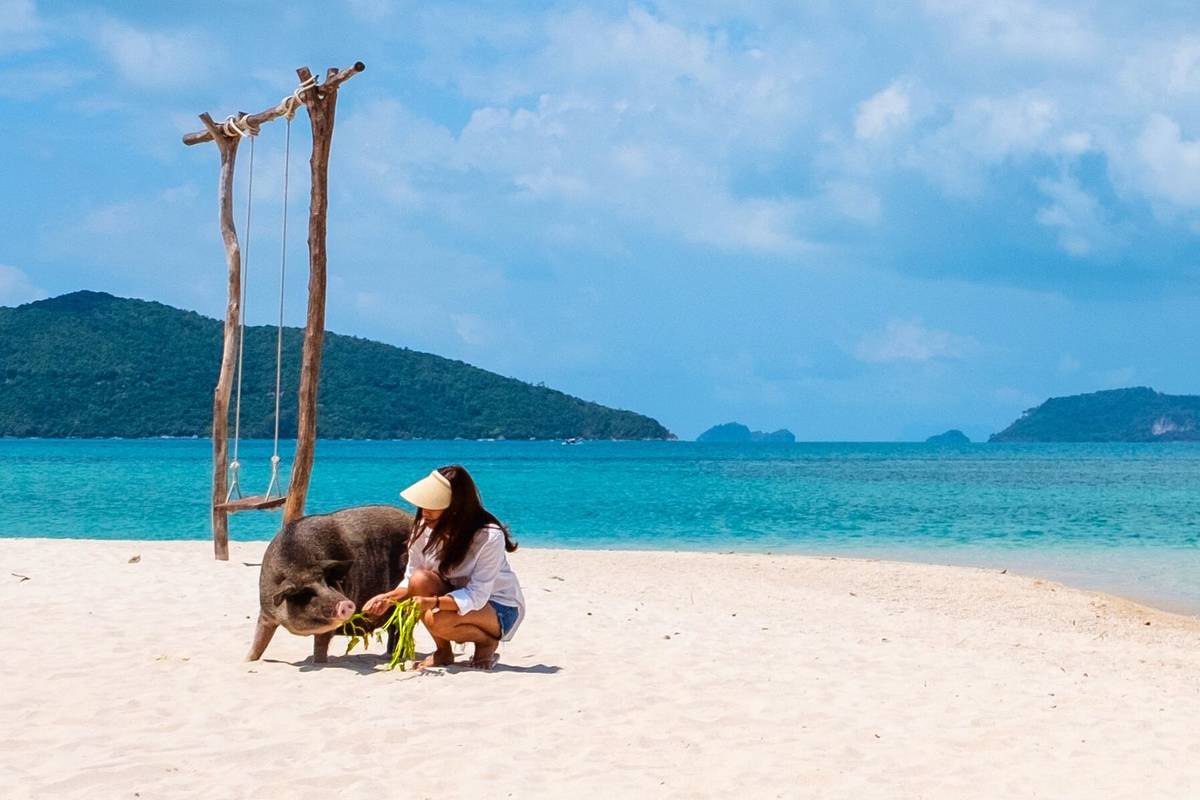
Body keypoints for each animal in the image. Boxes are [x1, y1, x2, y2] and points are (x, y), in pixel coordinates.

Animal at [246, 505, 413, 663]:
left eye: (327, 581)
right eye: (305, 592)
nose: (346, 603)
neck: (300, 567)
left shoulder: (327, 630)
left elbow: (319, 652)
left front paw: (319, 663)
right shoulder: (266, 613)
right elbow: (258, 642)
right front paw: (246, 660)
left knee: (400, 629)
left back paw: (396, 657)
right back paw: (390, 656)